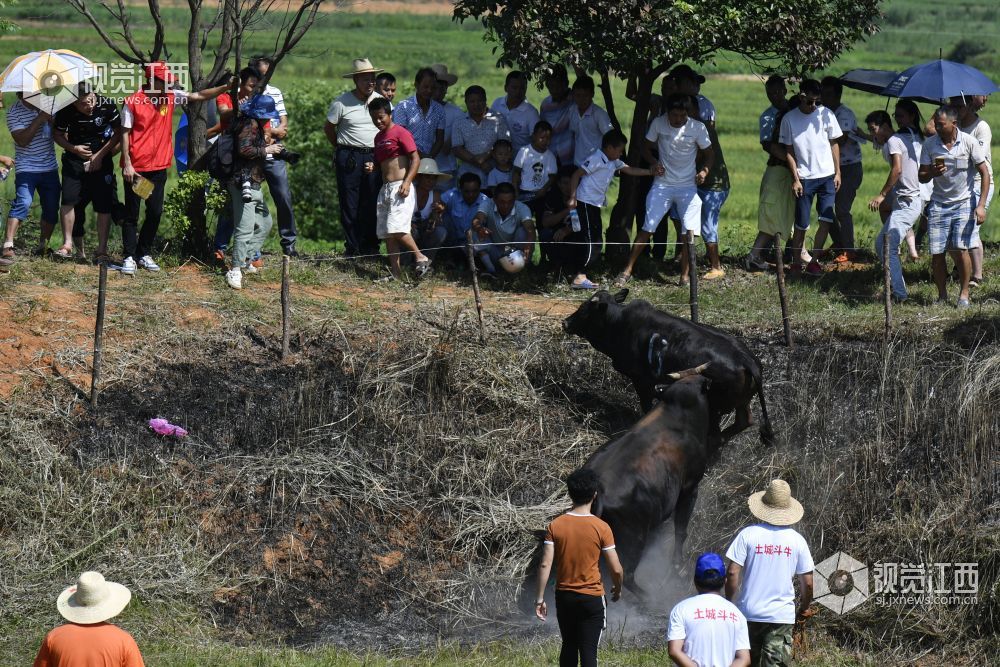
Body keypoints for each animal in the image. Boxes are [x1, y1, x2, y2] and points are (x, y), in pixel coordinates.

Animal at [564, 290, 772, 446]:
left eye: (583, 309)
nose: (565, 322)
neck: (618, 323)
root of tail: (747, 360)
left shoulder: (641, 381)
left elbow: (646, 405)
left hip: (716, 405)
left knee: (719, 432)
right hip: (740, 402)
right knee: (744, 421)